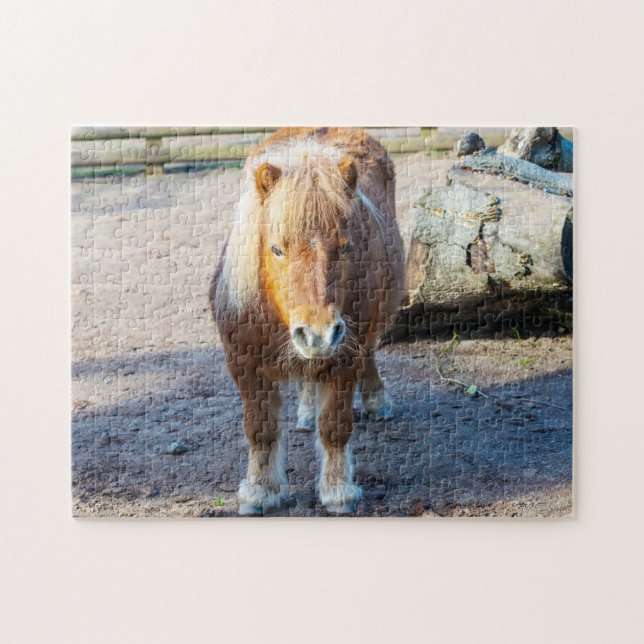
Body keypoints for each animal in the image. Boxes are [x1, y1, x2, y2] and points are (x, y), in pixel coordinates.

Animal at [210, 127, 404, 514]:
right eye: (276, 249)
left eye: (345, 247)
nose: (319, 334)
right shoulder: (244, 363)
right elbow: (260, 428)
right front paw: (260, 491)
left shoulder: (345, 359)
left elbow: (335, 426)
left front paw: (338, 490)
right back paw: (306, 411)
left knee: (369, 355)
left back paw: (376, 400)